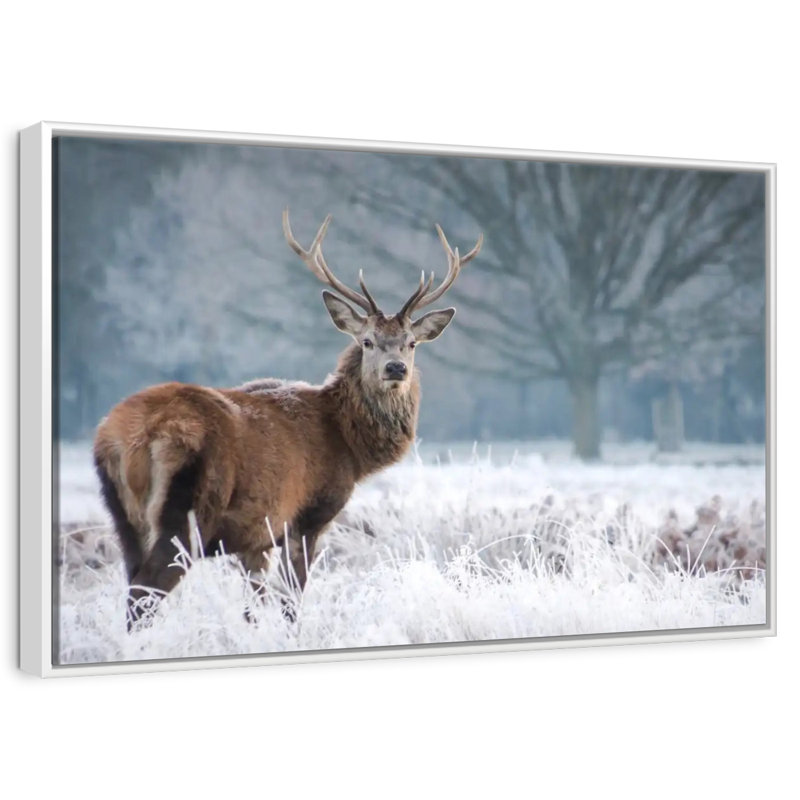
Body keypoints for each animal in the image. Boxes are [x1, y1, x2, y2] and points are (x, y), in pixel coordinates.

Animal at [93, 210, 482, 626]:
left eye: (411, 343)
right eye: (367, 342)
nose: (396, 368)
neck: (348, 445)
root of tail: (129, 438)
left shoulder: (255, 537)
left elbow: (253, 606)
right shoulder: (307, 516)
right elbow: (290, 601)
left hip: (123, 517)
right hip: (186, 509)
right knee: (142, 596)